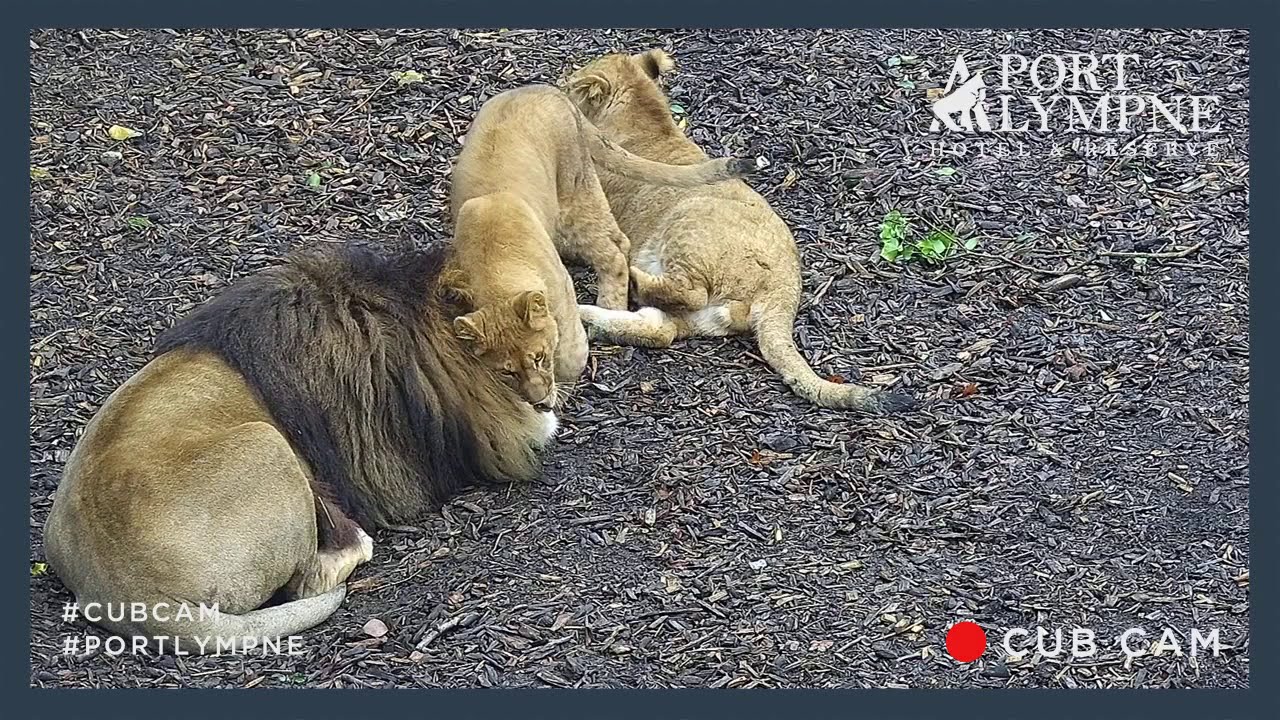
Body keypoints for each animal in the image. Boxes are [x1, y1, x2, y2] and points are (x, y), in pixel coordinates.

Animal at [41, 241, 559, 653]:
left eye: (544, 353)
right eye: (513, 366)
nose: (546, 397)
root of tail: (132, 596)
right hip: (267, 444)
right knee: (314, 576)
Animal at [563, 50, 917, 413]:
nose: (562, 88)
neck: (644, 115)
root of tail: (785, 289)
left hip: (689, 219)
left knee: (687, 291)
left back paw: (631, 280)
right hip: (699, 314)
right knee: (660, 329)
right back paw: (589, 315)